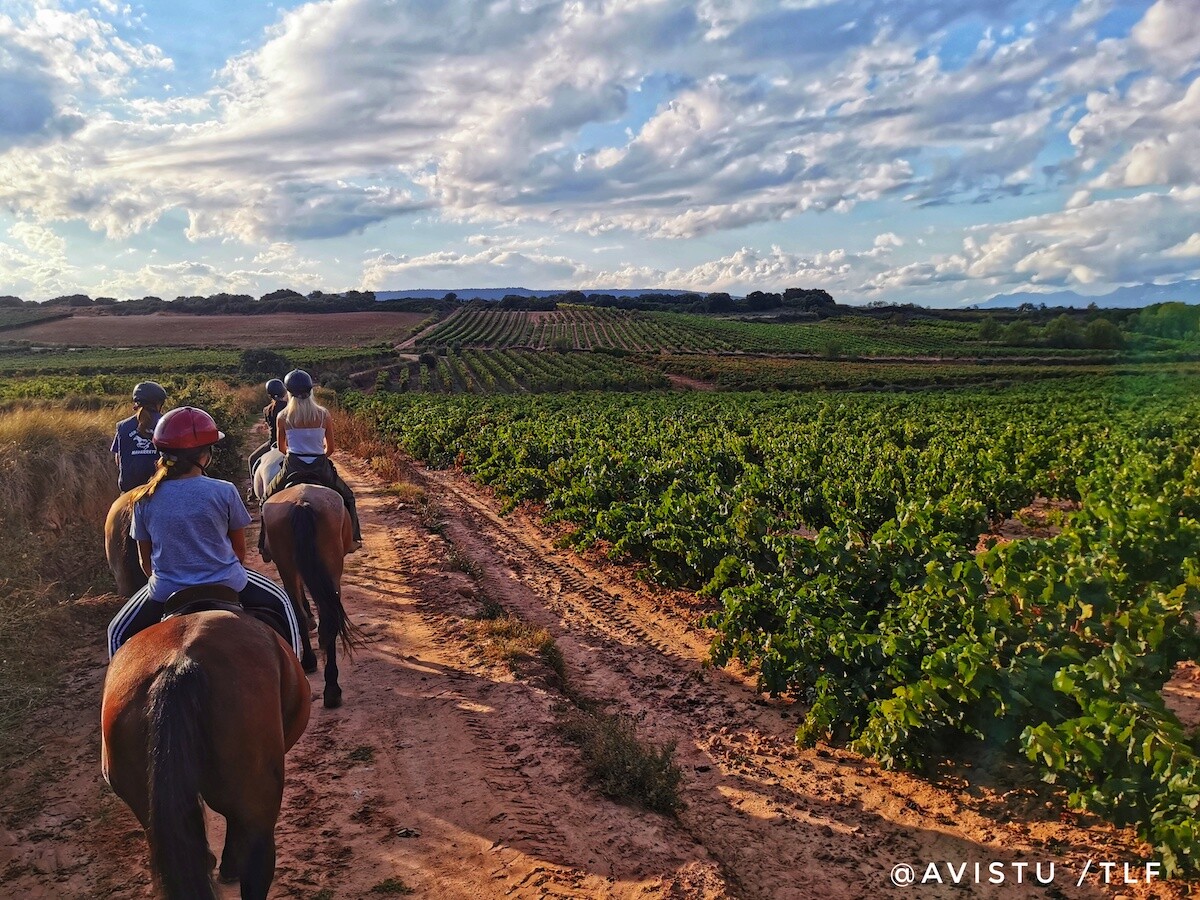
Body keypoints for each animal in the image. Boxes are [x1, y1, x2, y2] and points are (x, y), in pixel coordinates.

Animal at [262, 487, 355, 710]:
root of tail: (300, 503)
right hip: (331, 568)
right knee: (327, 620)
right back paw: (330, 686)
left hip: (287, 565)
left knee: (301, 614)